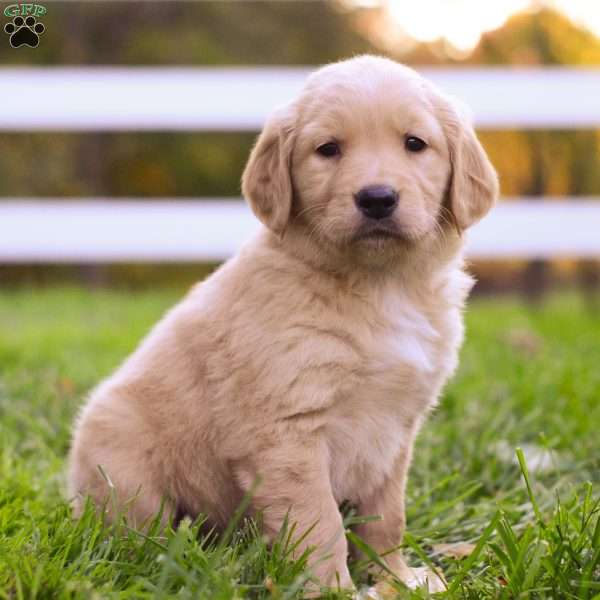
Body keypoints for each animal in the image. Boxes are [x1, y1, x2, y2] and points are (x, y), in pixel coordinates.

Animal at [69, 55, 496, 592]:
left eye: (415, 143)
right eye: (327, 149)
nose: (377, 198)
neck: (379, 286)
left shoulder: (397, 429)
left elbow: (388, 516)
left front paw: (394, 580)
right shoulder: (288, 430)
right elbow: (319, 522)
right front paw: (333, 591)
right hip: (123, 459)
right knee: (135, 533)